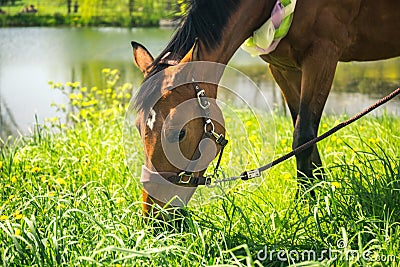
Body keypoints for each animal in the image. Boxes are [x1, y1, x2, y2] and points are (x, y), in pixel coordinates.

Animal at [132, 0, 400, 218]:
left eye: (179, 133)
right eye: (138, 128)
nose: (152, 215)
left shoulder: (322, 54)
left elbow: (304, 137)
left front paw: (307, 207)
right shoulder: (284, 68)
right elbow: (305, 136)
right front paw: (320, 195)